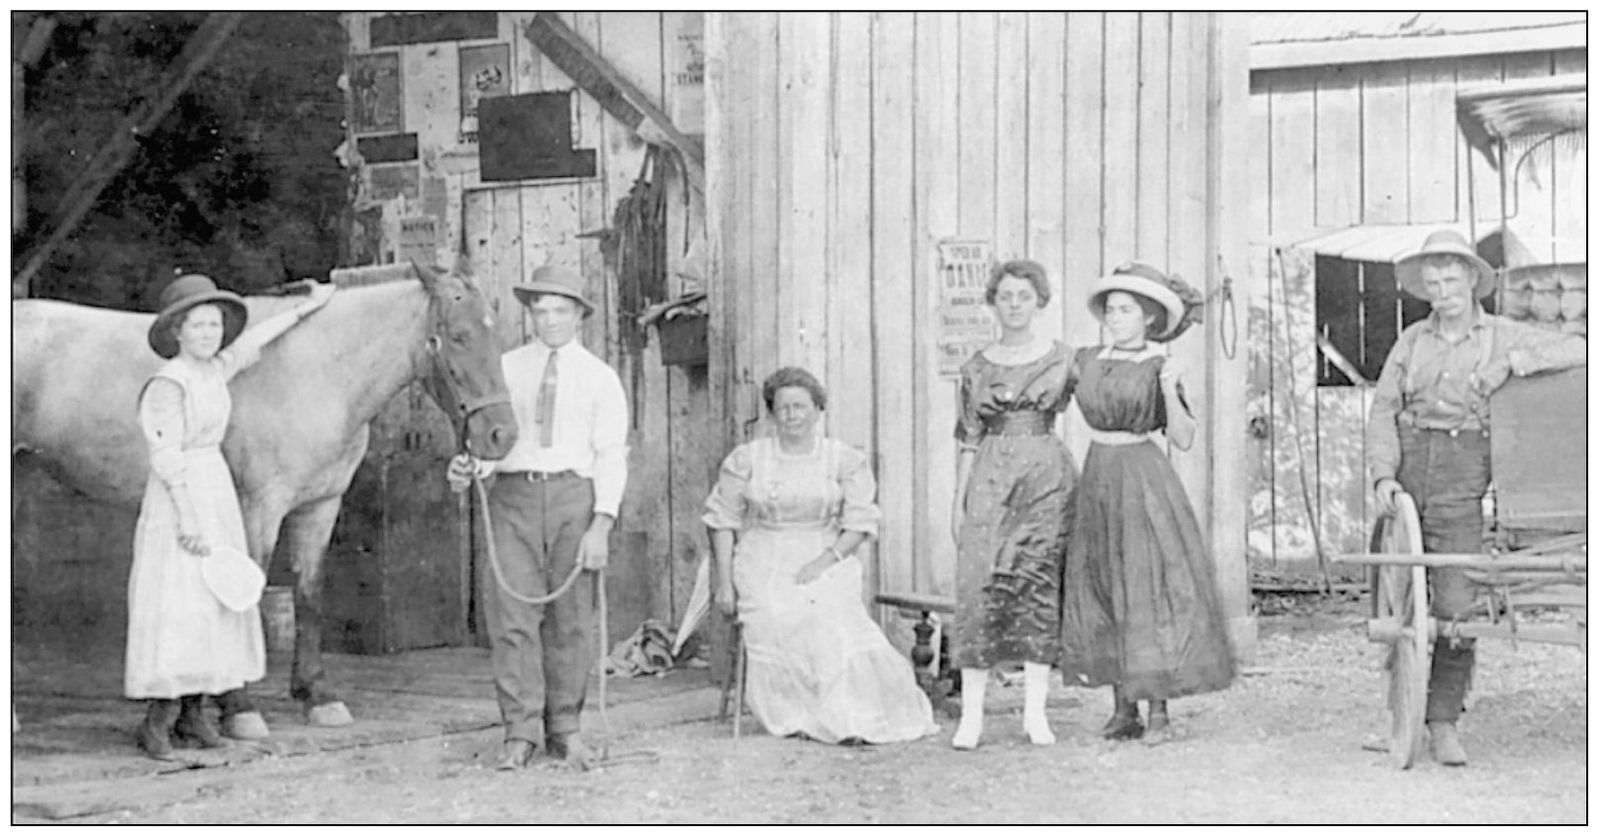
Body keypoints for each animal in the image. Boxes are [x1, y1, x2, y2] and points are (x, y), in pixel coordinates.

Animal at [12, 258, 514, 723]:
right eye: (459, 336)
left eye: (496, 335)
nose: (502, 436)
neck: (318, 372)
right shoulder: (261, 508)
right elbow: (247, 594)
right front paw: (239, 706)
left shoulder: (320, 507)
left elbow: (309, 596)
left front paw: (317, 696)